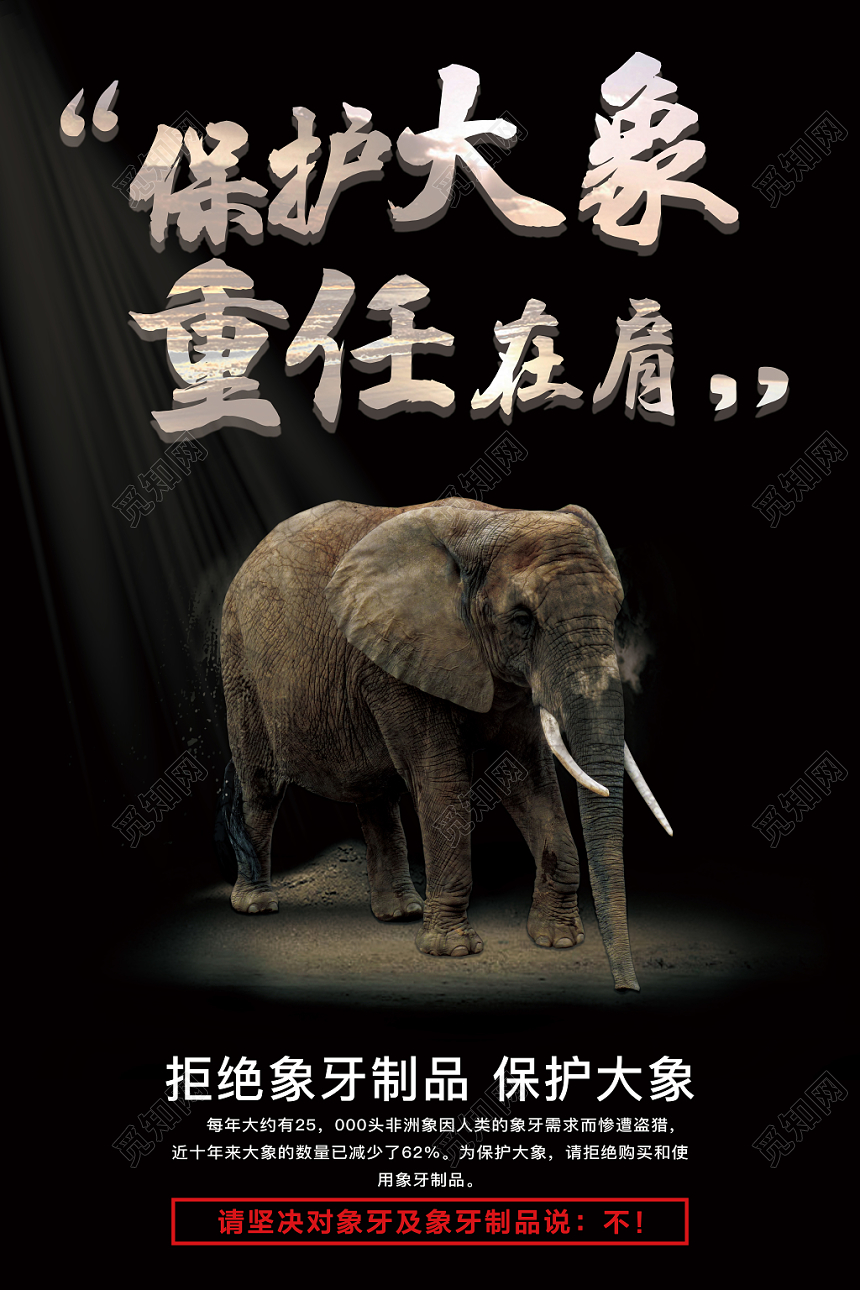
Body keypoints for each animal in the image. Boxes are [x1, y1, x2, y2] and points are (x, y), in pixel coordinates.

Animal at [217, 497, 672, 991]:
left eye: (616, 610)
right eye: (522, 620)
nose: (626, 988)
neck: (490, 521)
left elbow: (529, 777)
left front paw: (559, 940)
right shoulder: (401, 660)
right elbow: (441, 779)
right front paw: (452, 950)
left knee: (376, 796)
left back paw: (401, 913)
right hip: (241, 666)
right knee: (262, 788)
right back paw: (257, 906)